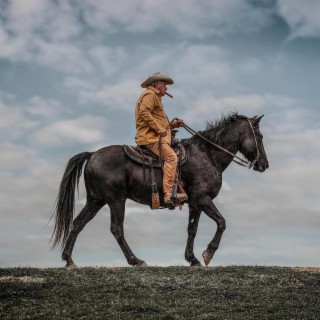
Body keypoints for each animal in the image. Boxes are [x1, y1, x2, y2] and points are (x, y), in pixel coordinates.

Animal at [51, 112, 268, 268]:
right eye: (259, 136)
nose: (264, 165)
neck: (208, 155)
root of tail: (92, 154)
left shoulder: (195, 203)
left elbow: (192, 229)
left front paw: (192, 259)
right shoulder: (203, 198)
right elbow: (222, 222)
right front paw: (208, 253)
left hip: (96, 200)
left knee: (78, 223)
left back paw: (69, 260)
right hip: (116, 200)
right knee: (116, 229)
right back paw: (136, 261)